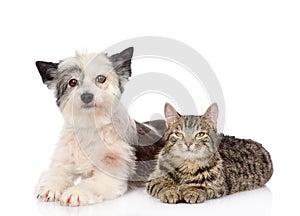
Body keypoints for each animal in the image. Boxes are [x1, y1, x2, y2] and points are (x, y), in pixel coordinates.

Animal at [35, 46, 144, 206]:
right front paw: (50, 187)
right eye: (72, 82)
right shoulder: (63, 162)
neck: (90, 125)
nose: (87, 96)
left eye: (101, 78)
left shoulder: (110, 175)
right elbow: (55, 173)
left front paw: (75, 192)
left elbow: (90, 184)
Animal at [146, 103, 274, 204]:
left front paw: (193, 191)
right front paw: (170, 192)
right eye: (178, 134)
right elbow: (162, 185)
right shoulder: (153, 179)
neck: (187, 165)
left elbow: (203, 187)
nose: (188, 143)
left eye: (200, 134)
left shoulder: (218, 187)